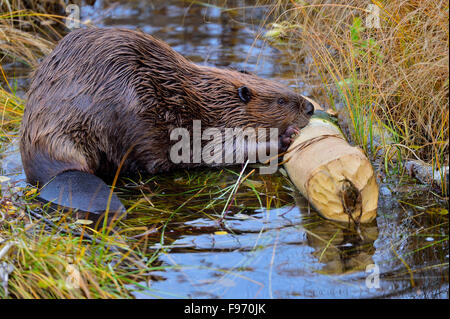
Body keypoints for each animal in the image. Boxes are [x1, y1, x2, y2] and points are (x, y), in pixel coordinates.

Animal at [18, 27, 312, 219]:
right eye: (282, 101)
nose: (309, 107)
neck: (207, 98)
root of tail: (58, 171)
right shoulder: (200, 128)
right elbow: (222, 151)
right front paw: (286, 136)